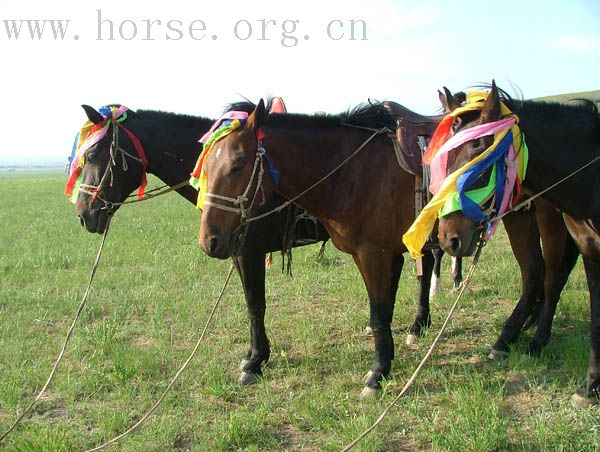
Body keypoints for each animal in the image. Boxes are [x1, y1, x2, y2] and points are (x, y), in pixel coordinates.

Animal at [195, 97, 580, 394]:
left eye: (237, 165)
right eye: (205, 166)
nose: (210, 240)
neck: (350, 171)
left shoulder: (374, 254)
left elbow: (380, 312)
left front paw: (377, 373)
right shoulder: (379, 253)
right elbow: (383, 309)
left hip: (545, 218)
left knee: (547, 277)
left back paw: (527, 339)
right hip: (520, 218)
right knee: (536, 277)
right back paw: (512, 336)